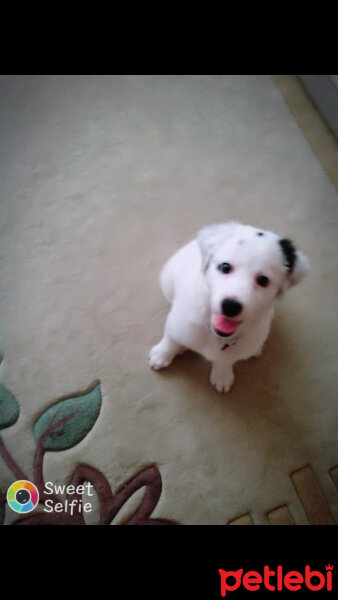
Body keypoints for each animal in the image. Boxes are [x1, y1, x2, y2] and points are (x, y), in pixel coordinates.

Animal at [149, 221, 310, 394]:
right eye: (225, 267)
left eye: (263, 280)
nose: (230, 306)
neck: (216, 335)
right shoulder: (178, 322)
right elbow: (170, 339)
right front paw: (162, 355)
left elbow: (226, 360)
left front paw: (222, 375)